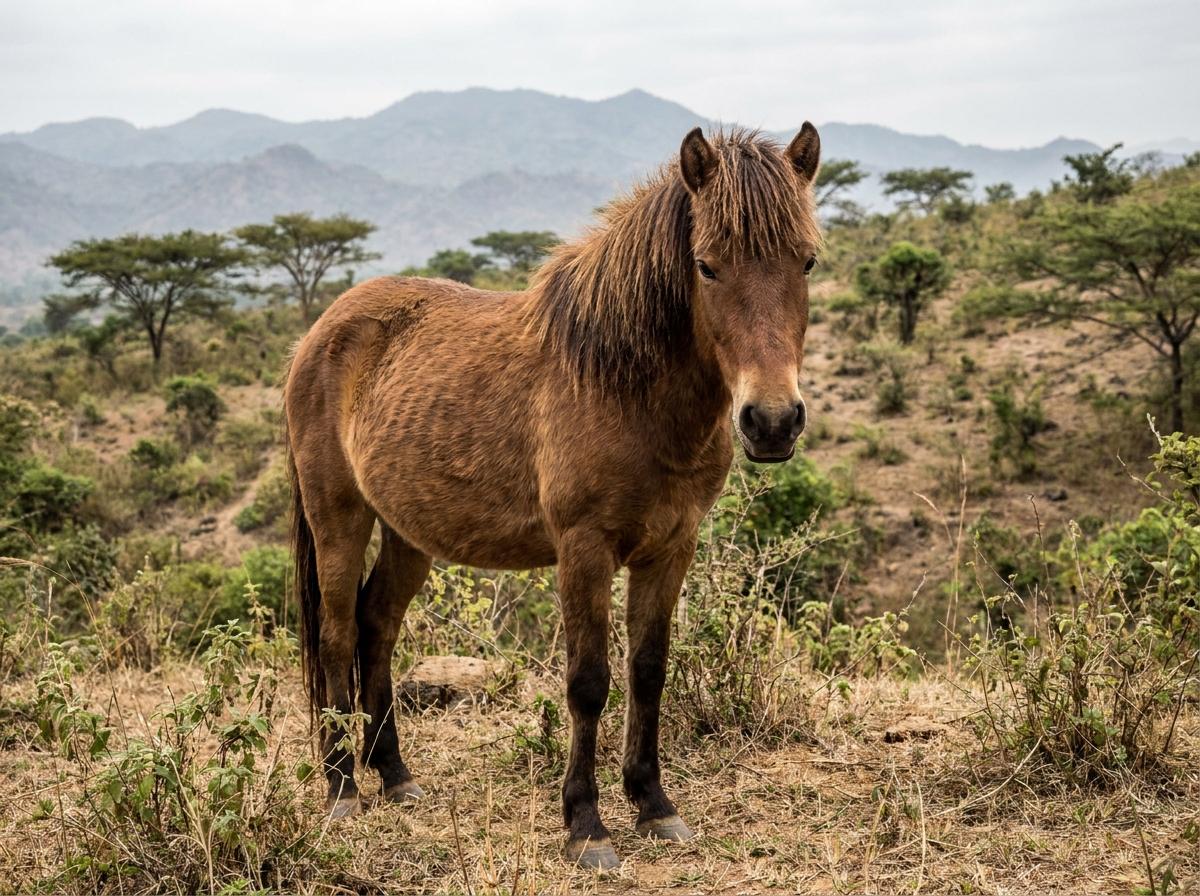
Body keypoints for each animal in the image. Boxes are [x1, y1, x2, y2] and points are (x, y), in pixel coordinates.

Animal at [284, 123, 822, 869]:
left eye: (807, 262)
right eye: (708, 266)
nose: (772, 422)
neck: (624, 385)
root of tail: (321, 330)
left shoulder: (670, 548)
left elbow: (649, 671)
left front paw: (654, 805)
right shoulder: (584, 550)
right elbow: (588, 683)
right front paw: (586, 826)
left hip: (407, 533)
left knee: (376, 624)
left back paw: (393, 775)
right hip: (337, 515)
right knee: (337, 633)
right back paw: (341, 789)